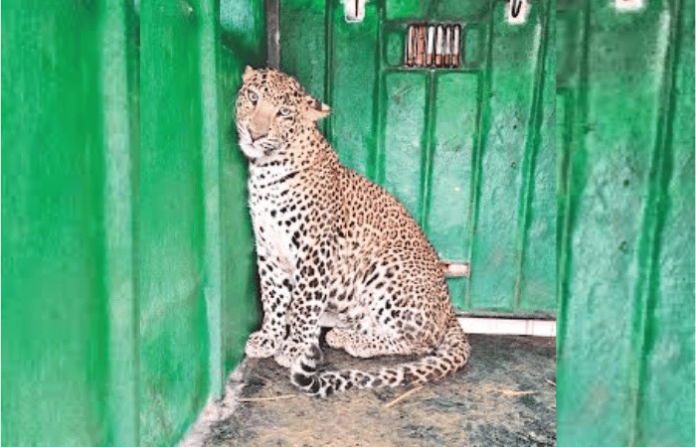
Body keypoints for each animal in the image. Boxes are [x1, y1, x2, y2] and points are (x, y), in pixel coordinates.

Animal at [235, 66, 470, 397]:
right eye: (253, 97)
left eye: (284, 113)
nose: (255, 134)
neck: (266, 171)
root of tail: (449, 312)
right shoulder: (268, 250)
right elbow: (273, 297)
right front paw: (269, 337)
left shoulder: (314, 252)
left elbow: (303, 303)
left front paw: (294, 348)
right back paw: (339, 331)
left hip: (386, 267)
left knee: (418, 341)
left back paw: (354, 341)